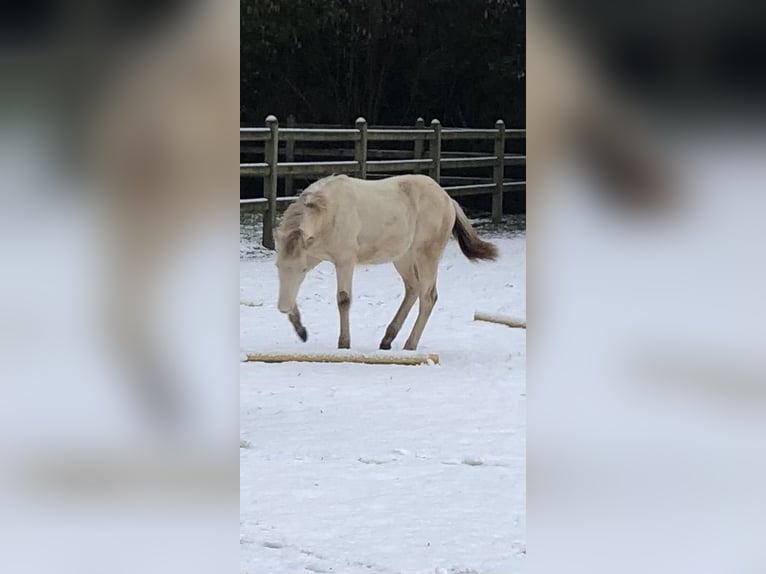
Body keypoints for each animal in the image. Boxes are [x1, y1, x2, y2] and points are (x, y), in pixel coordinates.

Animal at [274, 173, 498, 352]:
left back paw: (410, 345)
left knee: (428, 297)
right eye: (278, 266)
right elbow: (292, 290)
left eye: (302, 269)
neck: (328, 212)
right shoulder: (312, 256)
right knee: (413, 289)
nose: (282, 308)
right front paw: (301, 331)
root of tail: (448, 199)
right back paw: (387, 339)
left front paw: (344, 343)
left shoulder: (344, 261)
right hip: (403, 258)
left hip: (426, 256)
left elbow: (343, 299)